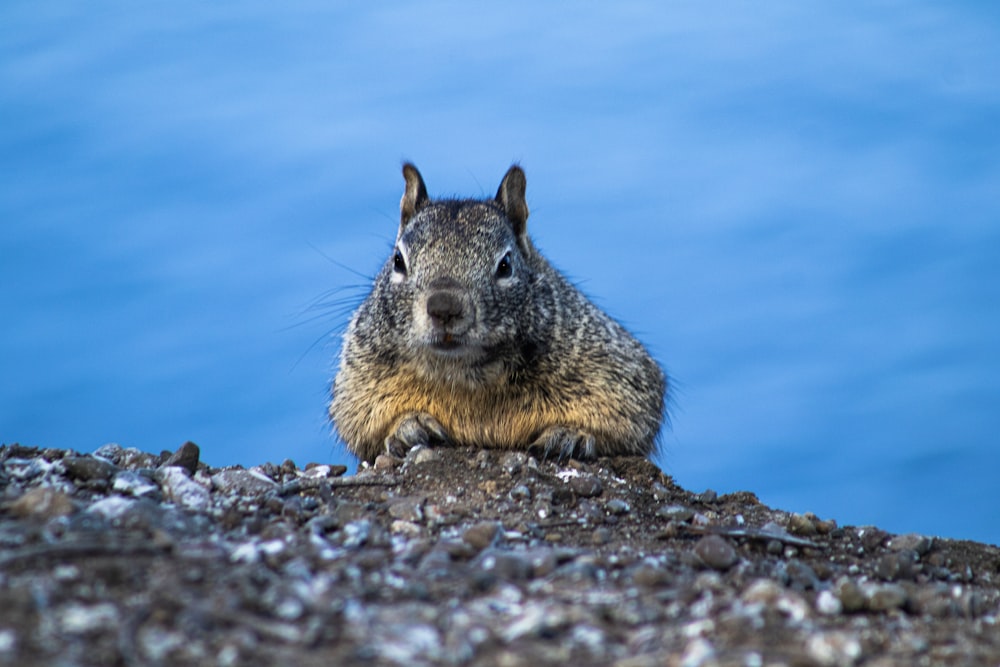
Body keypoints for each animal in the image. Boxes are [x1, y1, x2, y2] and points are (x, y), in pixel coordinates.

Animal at [332, 164, 668, 462]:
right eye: (398, 260)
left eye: (505, 265)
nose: (444, 308)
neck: (464, 374)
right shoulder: (360, 373)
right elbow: (357, 422)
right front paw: (407, 427)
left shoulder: (613, 366)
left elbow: (633, 418)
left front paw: (569, 435)